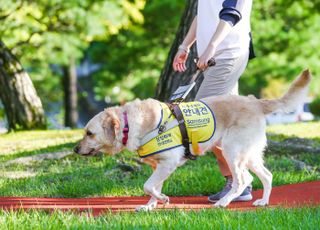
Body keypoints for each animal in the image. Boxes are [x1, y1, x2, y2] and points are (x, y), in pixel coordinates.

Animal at [74, 69, 310, 210]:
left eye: (89, 133)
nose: (75, 150)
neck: (129, 124)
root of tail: (255, 101)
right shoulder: (159, 166)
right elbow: (153, 187)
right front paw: (151, 205)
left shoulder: (168, 162)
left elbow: (148, 186)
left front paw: (162, 200)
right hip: (248, 155)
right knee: (266, 176)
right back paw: (263, 201)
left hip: (232, 152)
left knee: (242, 180)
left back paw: (223, 202)